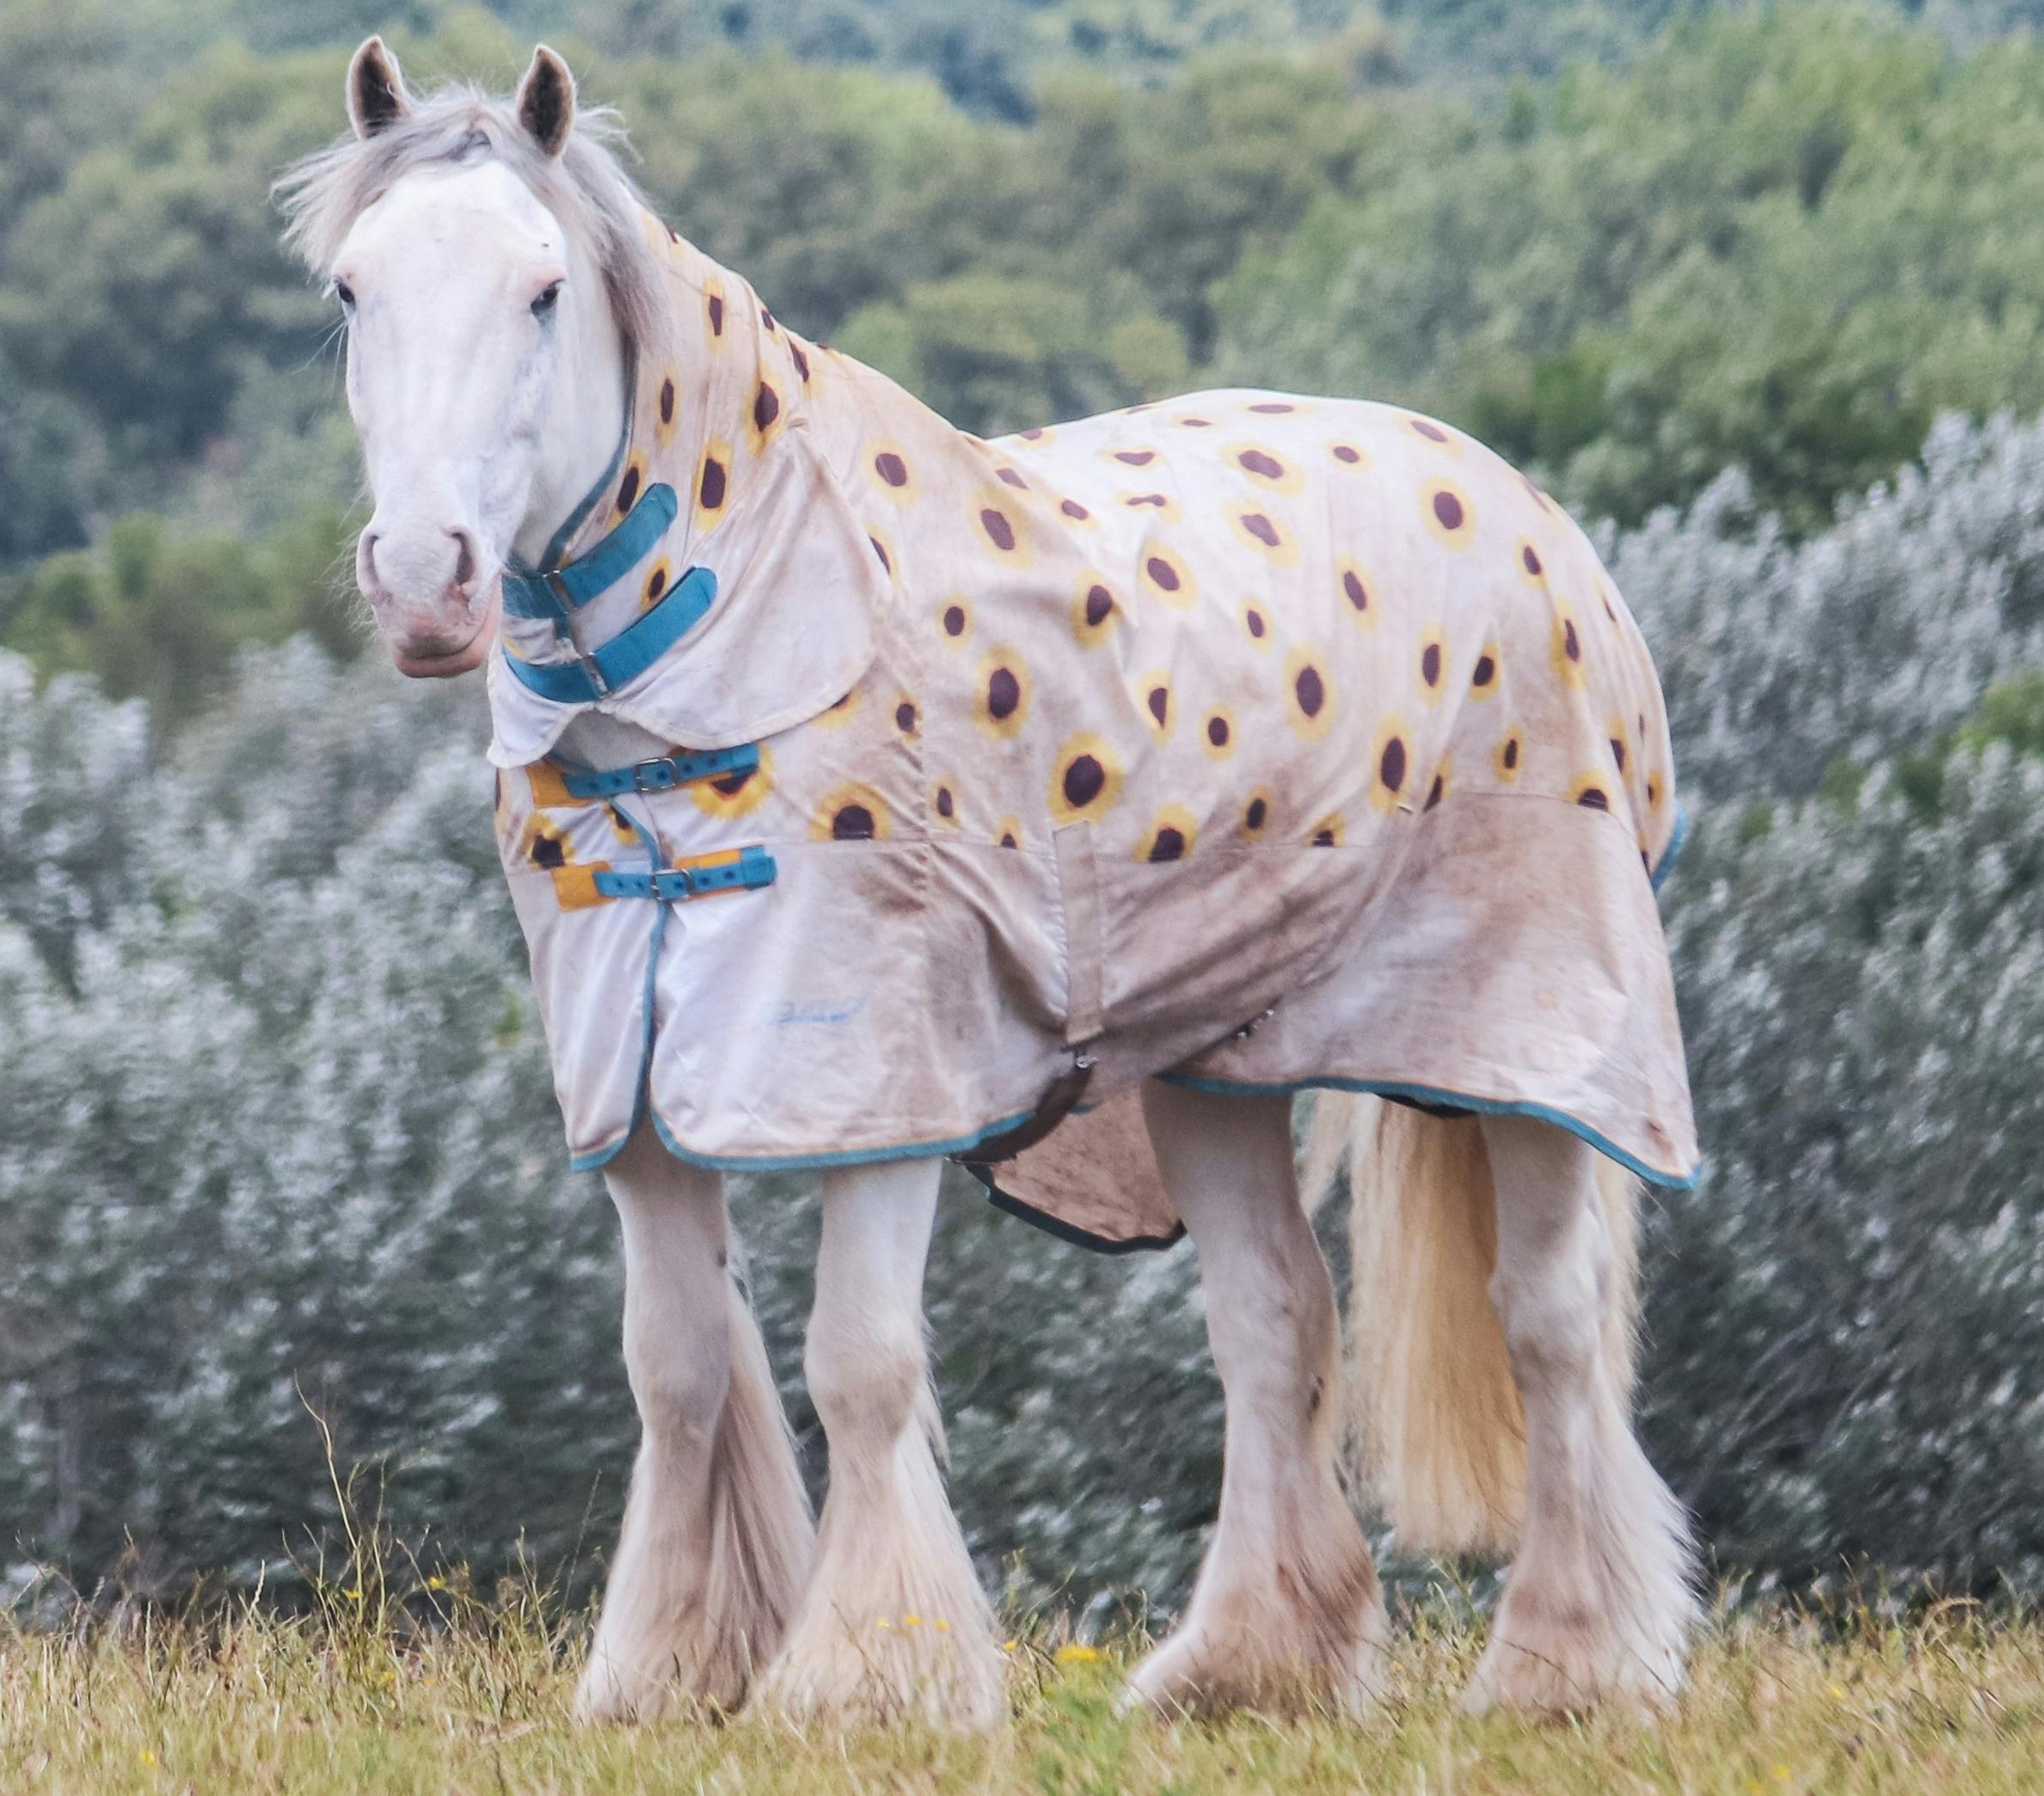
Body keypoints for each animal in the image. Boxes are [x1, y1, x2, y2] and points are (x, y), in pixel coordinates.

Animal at [278, 38, 1701, 1728]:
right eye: (354, 288)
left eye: (545, 288)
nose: (423, 582)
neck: (717, 655)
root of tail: (1527, 508)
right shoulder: (634, 1093)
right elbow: (677, 1365)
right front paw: (669, 1670)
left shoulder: (886, 1073)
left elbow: (859, 1361)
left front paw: (859, 1679)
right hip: (1214, 1067)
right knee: (1275, 1321)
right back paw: (1247, 1665)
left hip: (1527, 1042)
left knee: (1550, 1324)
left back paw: (1567, 1665)